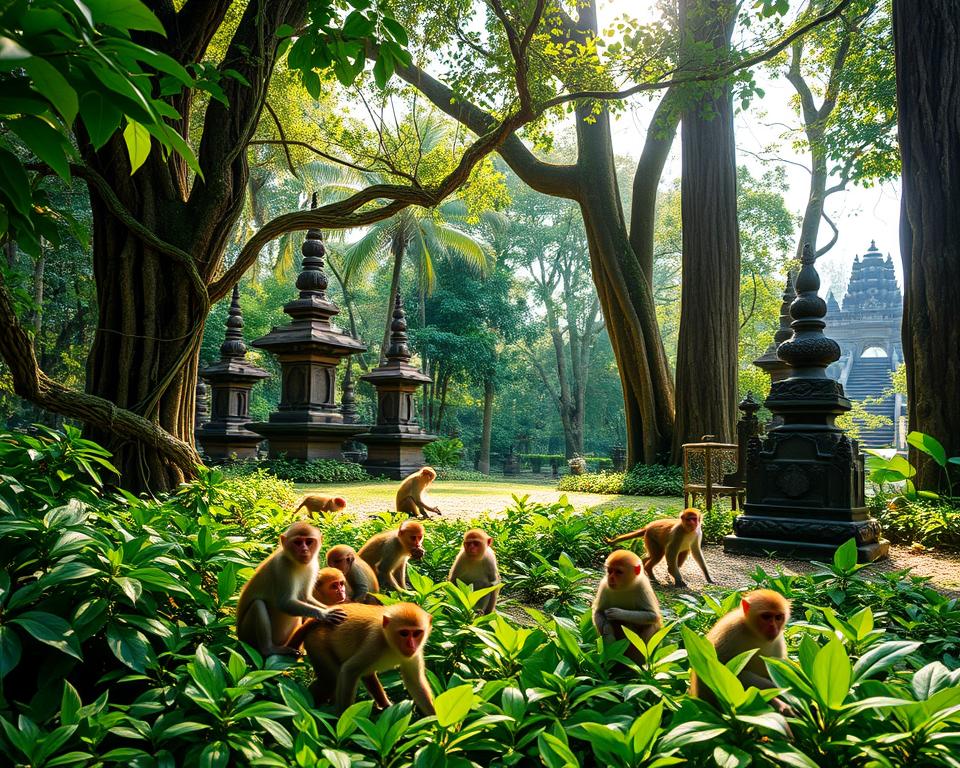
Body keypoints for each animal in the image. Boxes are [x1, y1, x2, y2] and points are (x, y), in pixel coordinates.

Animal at [235, 521, 347, 656]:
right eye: (298, 542)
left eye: (309, 542)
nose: (304, 550)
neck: (295, 562)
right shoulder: (283, 566)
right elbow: (284, 603)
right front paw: (324, 614)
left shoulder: (312, 564)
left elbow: (305, 597)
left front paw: (327, 608)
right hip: (246, 635)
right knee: (258, 604)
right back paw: (269, 649)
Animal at [288, 602, 435, 714]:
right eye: (404, 633)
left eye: (417, 633)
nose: (411, 645)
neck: (390, 642)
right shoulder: (375, 641)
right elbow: (349, 670)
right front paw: (342, 720)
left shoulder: (415, 654)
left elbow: (414, 682)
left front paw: (436, 723)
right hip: (317, 643)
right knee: (331, 680)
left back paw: (384, 705)